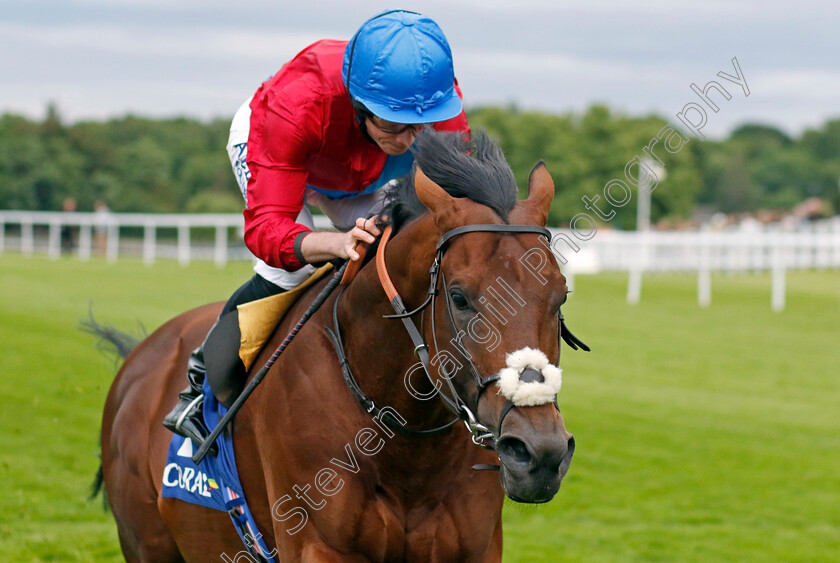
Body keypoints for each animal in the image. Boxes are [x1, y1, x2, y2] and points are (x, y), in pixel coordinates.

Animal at [98, 131, 580, 560]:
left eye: (560, 296)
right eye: (459, 297)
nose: (539, 453)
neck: (405, 447)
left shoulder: (474, 549)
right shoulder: (320, 545)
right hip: (146, 543)